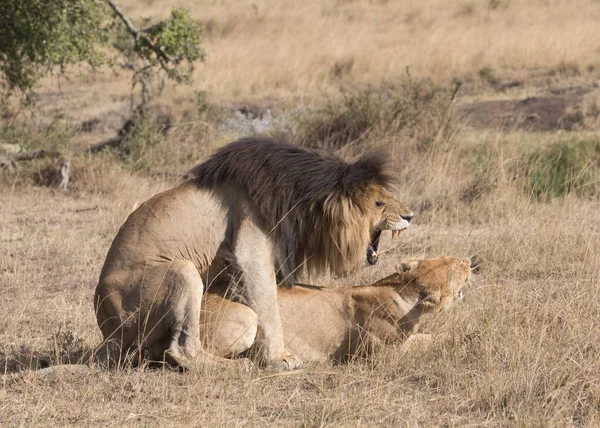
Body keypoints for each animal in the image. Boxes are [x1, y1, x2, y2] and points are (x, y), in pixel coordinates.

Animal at [94, 138, 414, 372]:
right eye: (378, 203)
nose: (410, 216)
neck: (302, 203)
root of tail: (106, 328)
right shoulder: (251, 252)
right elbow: (269, 309)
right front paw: (280, 358)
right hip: (180, 271)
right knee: (183, 350)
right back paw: (238, 366)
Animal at [199, 256, 472, 362]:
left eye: (447, 258)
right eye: (455, 271)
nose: (469, 261)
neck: (403, 292)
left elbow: (430, 336)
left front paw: (465, 337)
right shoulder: (380, 353)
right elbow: (424, 343)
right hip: (247, 316)